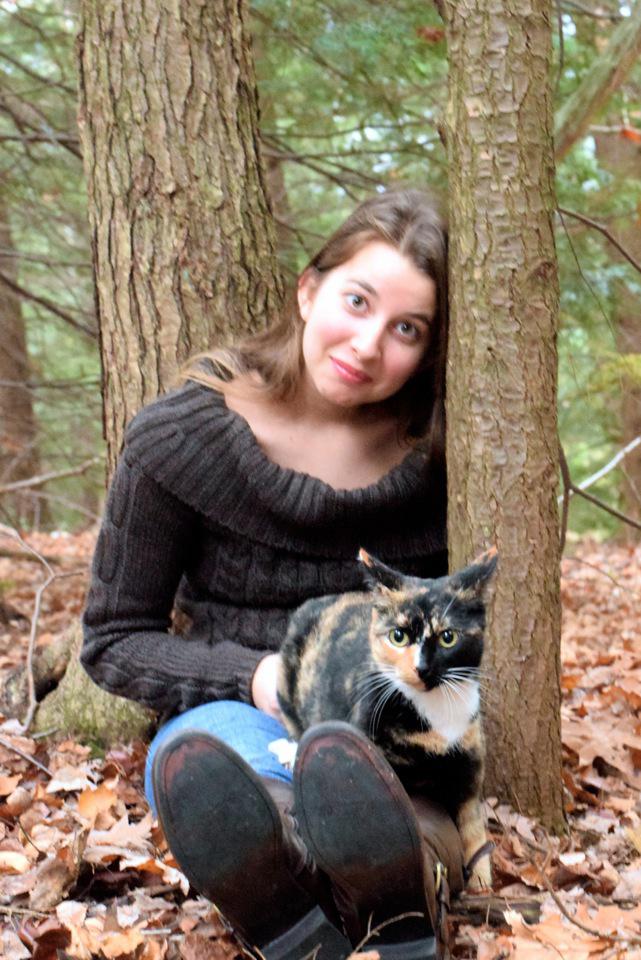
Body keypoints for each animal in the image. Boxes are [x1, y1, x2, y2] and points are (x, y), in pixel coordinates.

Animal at [277, 547, 497, 889]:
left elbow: (472, 822)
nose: (422, 668)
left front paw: (481, 876)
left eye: (448, 637)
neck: (435, 713)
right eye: (398, 636)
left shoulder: (469, 758)